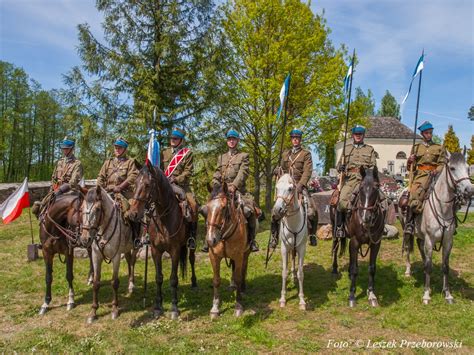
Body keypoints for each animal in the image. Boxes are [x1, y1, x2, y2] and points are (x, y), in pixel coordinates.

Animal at [79, 188, 138, 324]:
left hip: (135, 247)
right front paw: (93, 312)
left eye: (97, 209)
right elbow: (96, 283)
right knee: (129, 261)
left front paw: (115, 309)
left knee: (132, 262)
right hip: (126, 249)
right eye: (81, 208)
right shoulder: (96, 257)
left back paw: (131, 285)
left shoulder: (116, 256)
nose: (85, 239)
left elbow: (114, 282)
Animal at [128, 163, 196, 320]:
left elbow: (173, 279)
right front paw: (158, 307)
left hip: (191, 244)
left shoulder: (175, 251)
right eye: (135, 183)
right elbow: (159, 278)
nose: (133, 214)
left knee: (191, 259)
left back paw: (194, 282)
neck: (164, 217)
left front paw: (174, 308)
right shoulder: (155, 251)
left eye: (147, 185)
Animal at [205, 184, 252, 320]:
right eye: (207, 207)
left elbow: (238, 277)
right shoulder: (214, 256)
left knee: (243, 270)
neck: (224, 236)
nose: (210, 240)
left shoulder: (239, 256)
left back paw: (242, 289)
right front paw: (215, 308)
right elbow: (216, 280)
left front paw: (238, 306)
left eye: (224, 207)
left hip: (245, 254)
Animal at [272, 175, 310, 312]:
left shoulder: (302, 249)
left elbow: (300, 273)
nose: (277, 210)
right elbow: (284, 272)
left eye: (290, 189)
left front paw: (302, 301)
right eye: (276, 188)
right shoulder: (284, 248)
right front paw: (282, 299)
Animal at [404, 152, 474, 304]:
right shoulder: (430, 240)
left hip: (422, 236)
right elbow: (429, 267)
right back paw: (408, 271)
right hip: (407, 230)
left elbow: (445, 267)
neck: (442, 208)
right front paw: (426, 294)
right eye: (452, 168)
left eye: (468, 168)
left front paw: (447, 294)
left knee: (420, 246)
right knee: (407, 248)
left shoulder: (448, 241)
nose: (469, 190)